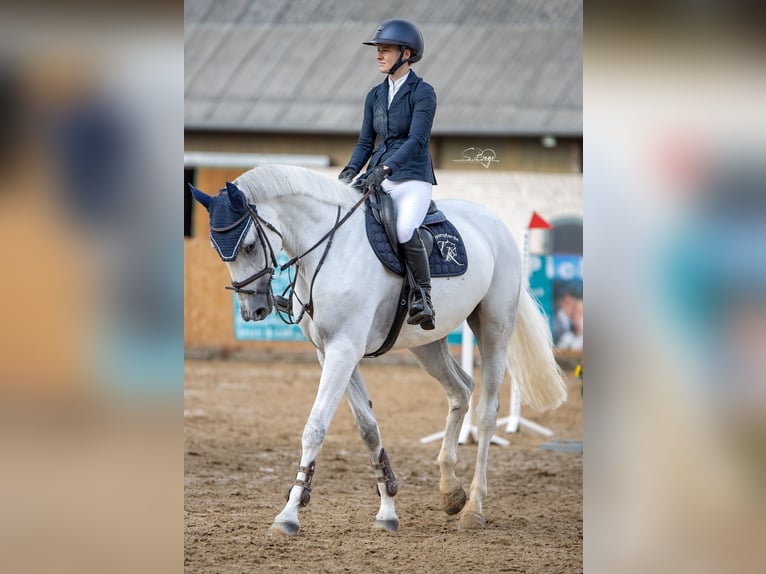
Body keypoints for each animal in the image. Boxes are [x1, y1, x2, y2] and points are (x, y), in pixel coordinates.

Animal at [189, 164, 568, 536]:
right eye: (217, 249)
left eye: (250, 245)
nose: (253, 311)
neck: (330, 248)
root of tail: (494, 221)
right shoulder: (332, 352)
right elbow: (368, 429)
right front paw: (387, 510)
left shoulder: (344, 349)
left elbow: (315, 427)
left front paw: (289, 514)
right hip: (428, 344)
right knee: (460, 389)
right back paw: (450, 492)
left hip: (494, 327)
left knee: (488, 411)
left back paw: (473, 508)